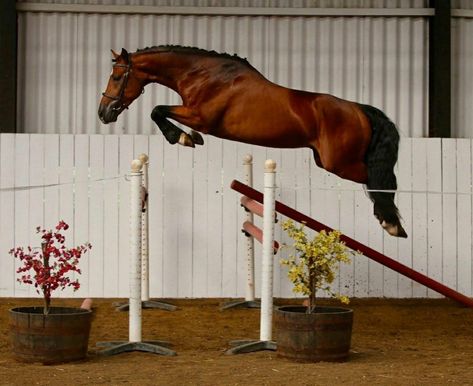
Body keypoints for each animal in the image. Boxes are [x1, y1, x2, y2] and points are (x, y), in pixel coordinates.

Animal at [98, 45, 406, 238]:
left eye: (117, 77)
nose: (103, 113)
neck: (203, 75)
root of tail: (359, 109)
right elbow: (160, 111)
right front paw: (188, 138)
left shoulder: (201, 117)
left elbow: (158, 110)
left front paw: (183, 138)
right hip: (327, 160)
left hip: (339, 163)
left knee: (381, 181)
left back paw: (390, 222)